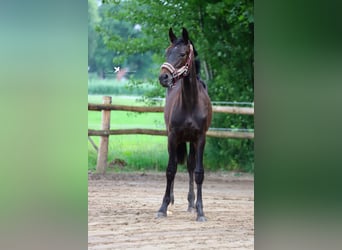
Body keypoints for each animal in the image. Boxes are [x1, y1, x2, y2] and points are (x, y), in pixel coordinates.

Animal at [157, 28, 211, 222]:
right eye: (167, 52)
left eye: (182, 54)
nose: (164, 77)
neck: (190, 103)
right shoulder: (173, 137)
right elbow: (170, 169)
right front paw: (163, 208)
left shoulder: (200, 138)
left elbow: (198, 173)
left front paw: (200, 211)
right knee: (174, 163)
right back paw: (172, 200)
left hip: (192, 142)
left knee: (190, 165)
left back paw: (191, 204)